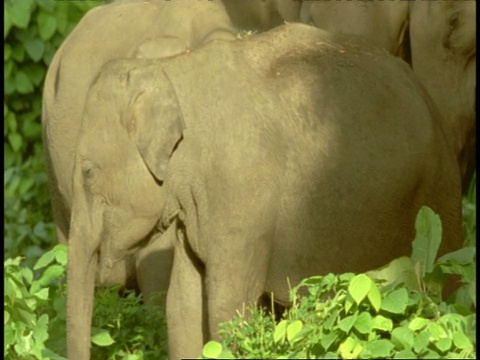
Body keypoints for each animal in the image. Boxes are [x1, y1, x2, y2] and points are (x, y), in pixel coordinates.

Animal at [69, 23, 464, 360]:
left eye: (87, 174)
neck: (175, 69)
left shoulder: (243, 196)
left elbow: (227, 305)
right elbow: (182, 303)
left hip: (438, 196)